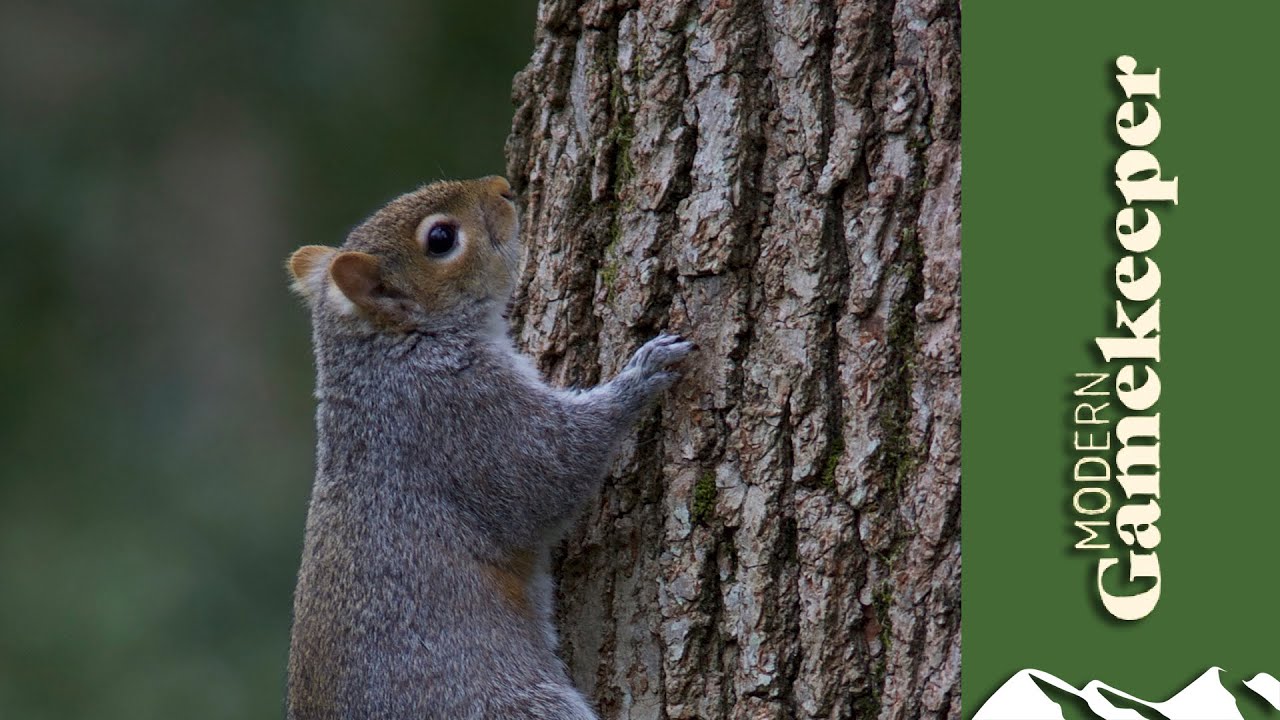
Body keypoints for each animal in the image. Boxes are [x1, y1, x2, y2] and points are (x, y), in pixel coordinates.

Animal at [284, 175, 694, 720]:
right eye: (440, 239)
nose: (503, 187)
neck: (393, 351)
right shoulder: (463, 416)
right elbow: (551, 471)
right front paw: (642, 374)